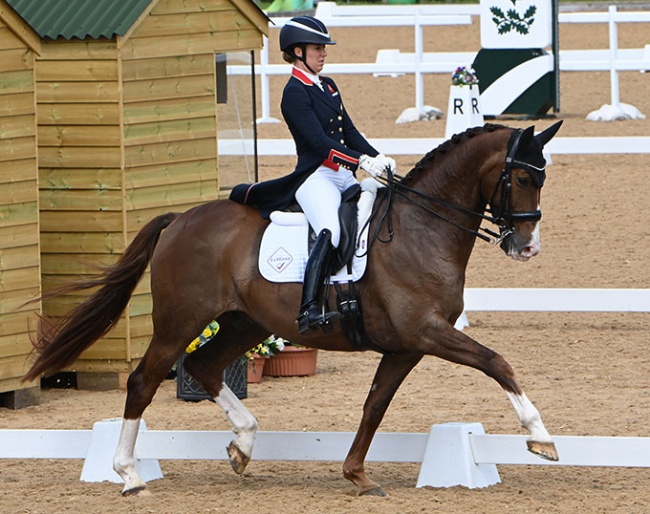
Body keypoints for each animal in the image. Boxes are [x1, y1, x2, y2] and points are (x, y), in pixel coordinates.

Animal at [24, 121, 560, 496]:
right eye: (519, 176)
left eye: (542, 178)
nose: (528, 247)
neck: (421, 228)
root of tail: (181, 219)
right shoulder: (425, 331)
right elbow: (496, 362)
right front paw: (541, 437)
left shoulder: (406, 346)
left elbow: (374, 405)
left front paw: (356, 475)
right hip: (180, 321)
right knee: (144, 380)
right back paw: (130, 475)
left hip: (245, 322)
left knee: (203, 365)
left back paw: (243, 443)